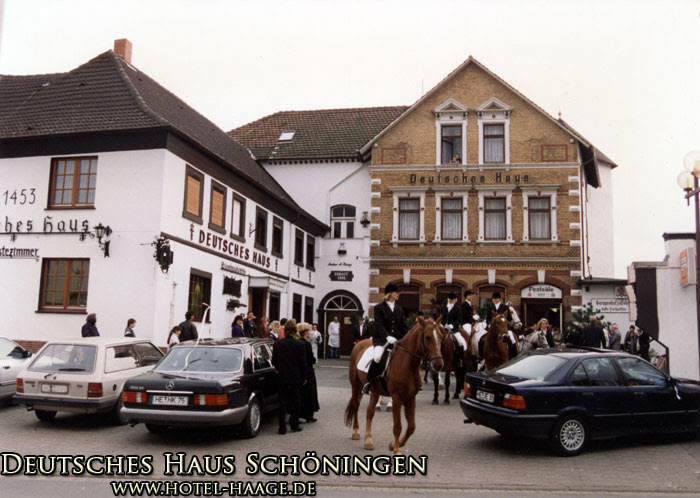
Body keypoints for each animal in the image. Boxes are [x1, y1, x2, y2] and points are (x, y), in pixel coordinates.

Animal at [344, 320, 442, 456]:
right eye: (428, 337)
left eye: (441, 336)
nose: (438, 364)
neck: (407, 363)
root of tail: (359, 343)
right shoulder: (397, 398)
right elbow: (397, 426)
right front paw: (396, 450)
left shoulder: (411, 397)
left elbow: (411, 427)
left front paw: (393, 445)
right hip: (356, 386)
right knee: (356, 406)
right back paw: (357, 432)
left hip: (375, 391)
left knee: (370, 412)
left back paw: (368, 440)